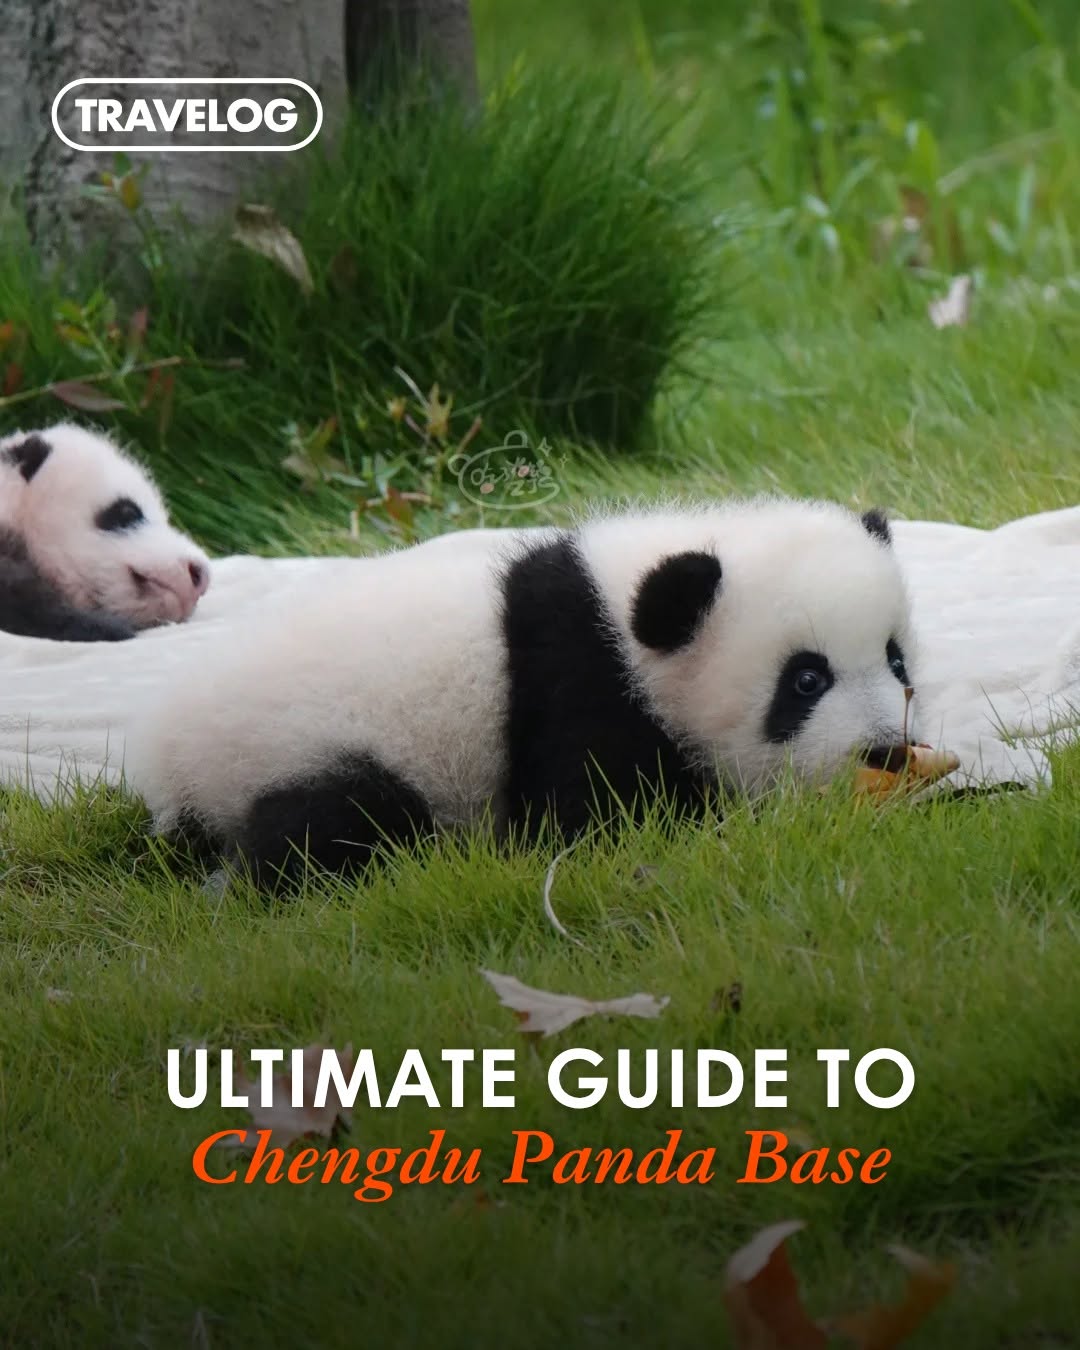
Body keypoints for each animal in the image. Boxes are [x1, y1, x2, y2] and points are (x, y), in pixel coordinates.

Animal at [125, 497, 915, 888]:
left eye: (896, 660)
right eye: (806, 680)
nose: (887, 752)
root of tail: (169, 760)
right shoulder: (573, 680)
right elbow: (603, 817)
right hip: (302, 747)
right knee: (338, 824)